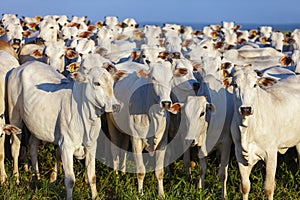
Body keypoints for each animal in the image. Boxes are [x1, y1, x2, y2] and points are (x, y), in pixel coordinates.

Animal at [7, 60, 119, 198]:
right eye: (97, 83)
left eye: (112, 83)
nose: (116, 106)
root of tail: (23, 66)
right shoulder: (66, 146)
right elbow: (70, 180)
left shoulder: (91, 145)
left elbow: (92, 176)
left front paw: (95, 197)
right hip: (15, 116)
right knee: (15, 147)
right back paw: (16, 178)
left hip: (35, 124)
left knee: (33, 146)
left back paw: (36, 177)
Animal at [227, 65, 300, 199]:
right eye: (235, 85)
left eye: (255, 85)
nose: (246, 109)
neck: (248, 129)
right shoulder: (239, 154)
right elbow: (245, 186)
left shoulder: (270, 154)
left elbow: (268, 188)